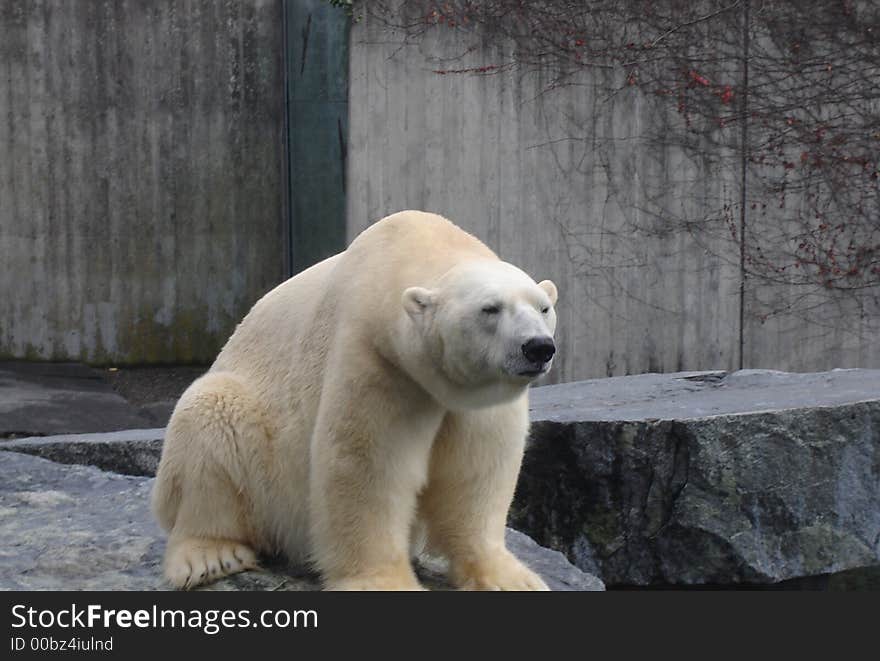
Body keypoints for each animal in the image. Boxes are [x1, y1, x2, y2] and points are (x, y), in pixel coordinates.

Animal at [151, 210, 556, 588]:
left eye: (543, 307)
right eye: (490, 308)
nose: (538, 347)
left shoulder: (478, 401)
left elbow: (477, 468)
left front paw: (511, 578)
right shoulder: (376, 357)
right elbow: (368, 466)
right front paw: (385, 582)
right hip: (257, 458)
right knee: (207, 421)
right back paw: (211, 556)